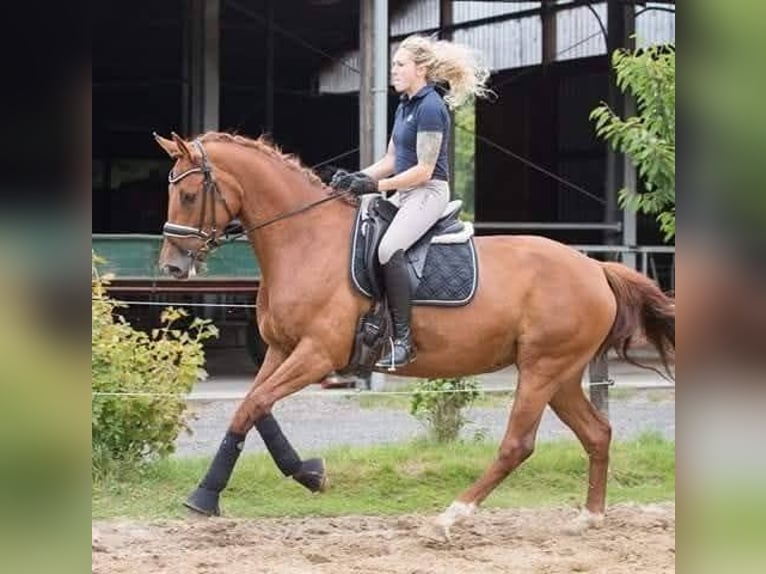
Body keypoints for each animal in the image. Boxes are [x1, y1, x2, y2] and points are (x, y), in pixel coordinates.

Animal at [153, 130, 676, 540]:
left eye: (190, 195)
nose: (172, 267)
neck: (305, 240)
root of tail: (595, 268)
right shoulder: (281, 350)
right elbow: (255, 407)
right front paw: (309, 473)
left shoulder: (318, 354)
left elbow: (252, 406)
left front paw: (205, 496)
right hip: (561, 375)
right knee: (597, 432)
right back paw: (589, 518)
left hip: (542, 369)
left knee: (518, 445)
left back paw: (450, 517)